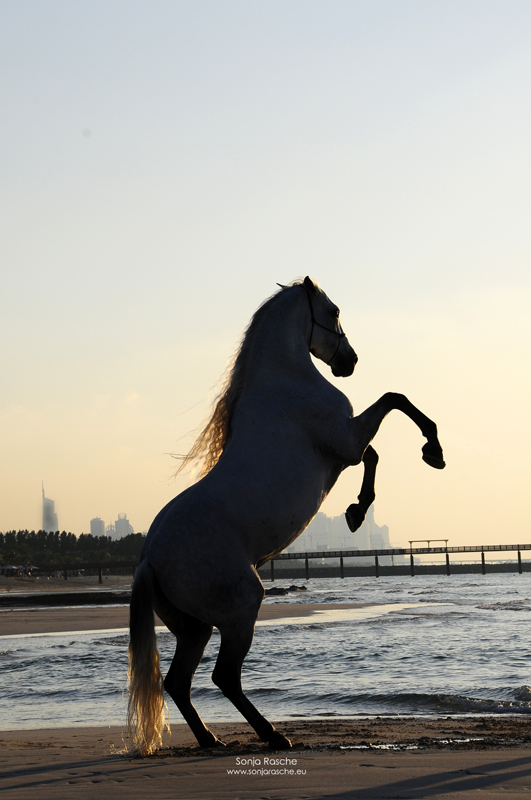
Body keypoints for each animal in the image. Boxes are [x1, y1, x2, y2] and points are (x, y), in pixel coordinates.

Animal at [129, 278, 444, 752]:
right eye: (333, 311)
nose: (350, 362)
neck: (285, 381)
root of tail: (150, 558)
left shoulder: (345, 450)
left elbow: (374, 452)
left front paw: (356, 511)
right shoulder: (346, 439)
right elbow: (395, 401)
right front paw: (433, 450)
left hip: (195, 628)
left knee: (178, 682)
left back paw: (211, 739)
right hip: (240, 609)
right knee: (224, 677)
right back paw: (273, 735)